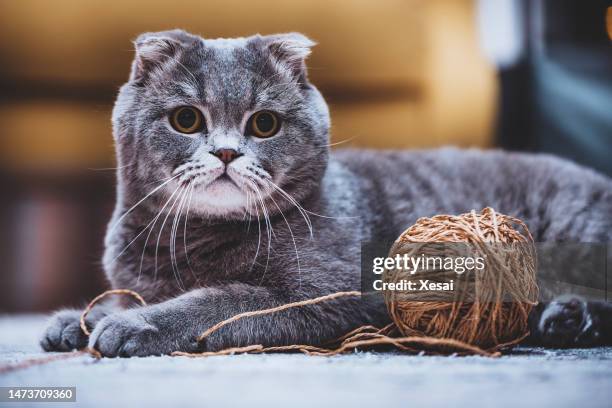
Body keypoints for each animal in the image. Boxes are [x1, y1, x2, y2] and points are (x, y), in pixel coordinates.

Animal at [41, 29, 612, 356]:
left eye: (264, 123)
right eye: (186, 119)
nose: (226, 153)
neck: (190, 244)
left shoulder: (324, 291)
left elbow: (219, 300)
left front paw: (131, 324)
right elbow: (118, 295)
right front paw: (78, 319)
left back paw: (565, 320)